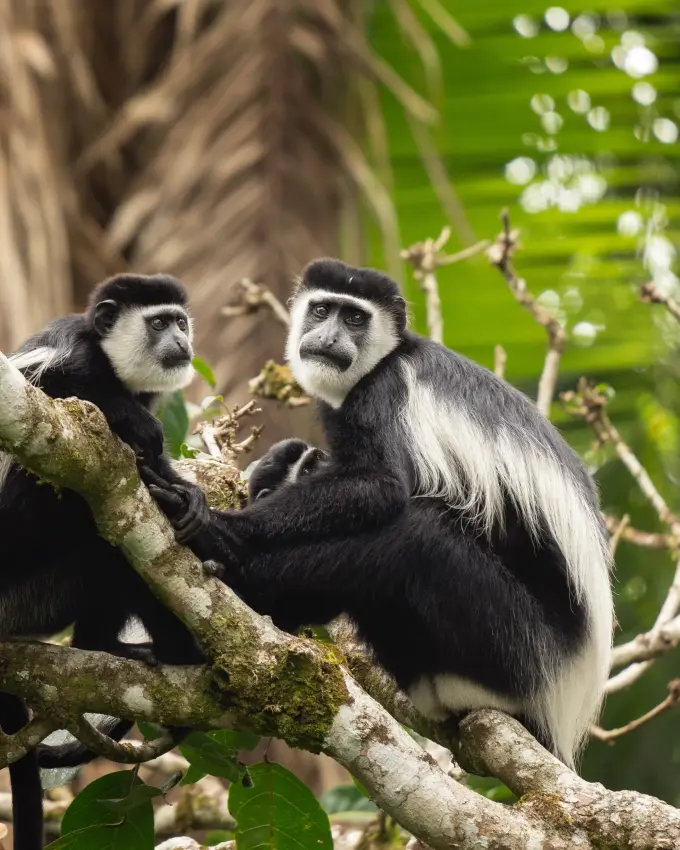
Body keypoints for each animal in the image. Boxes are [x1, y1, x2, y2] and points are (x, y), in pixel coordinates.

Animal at [0, 273, 209, 849]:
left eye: (179, 321)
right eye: (158, 323)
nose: (181, 341)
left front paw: (187, 495)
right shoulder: (74, 354)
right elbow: (61, 387)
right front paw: (138, 430)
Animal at [146, 258, 614, 771]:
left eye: (355, 318)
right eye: (322, 310)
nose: (329, 337)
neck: (389, 357)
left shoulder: (384, 394)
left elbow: (381, 486)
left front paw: (221, 528)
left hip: (520, 648)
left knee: (417, 537)